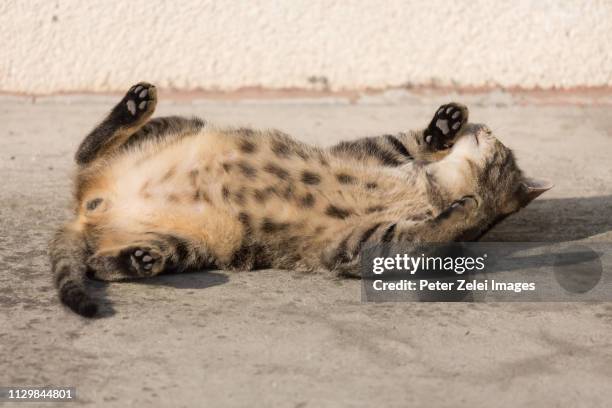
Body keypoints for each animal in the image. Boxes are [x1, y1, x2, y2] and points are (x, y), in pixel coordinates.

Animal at [50, 81, 552, 318]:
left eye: (498, 142)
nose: (484, 125)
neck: (429, 186)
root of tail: (86, 208)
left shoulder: (362, 246)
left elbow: (432, 232)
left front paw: (461, 212)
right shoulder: (376, 150)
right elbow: (410, 139)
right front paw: (444, 124)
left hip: (193, 247)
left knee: (101, 264)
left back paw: (138, 258)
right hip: (179, 124)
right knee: (85, 151)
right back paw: (134, 104)